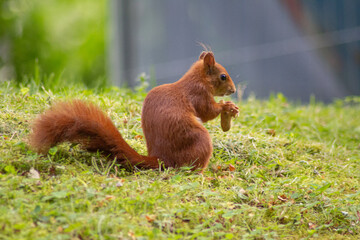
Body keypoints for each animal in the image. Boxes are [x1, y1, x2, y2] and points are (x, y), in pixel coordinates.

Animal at [28, 51, 239, 171]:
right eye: (223, 76)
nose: (234, 90)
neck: (198, 78)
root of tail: (161, 159)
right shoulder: (198, 94)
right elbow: (207, 112)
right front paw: (227, 106)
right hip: (199, 140)